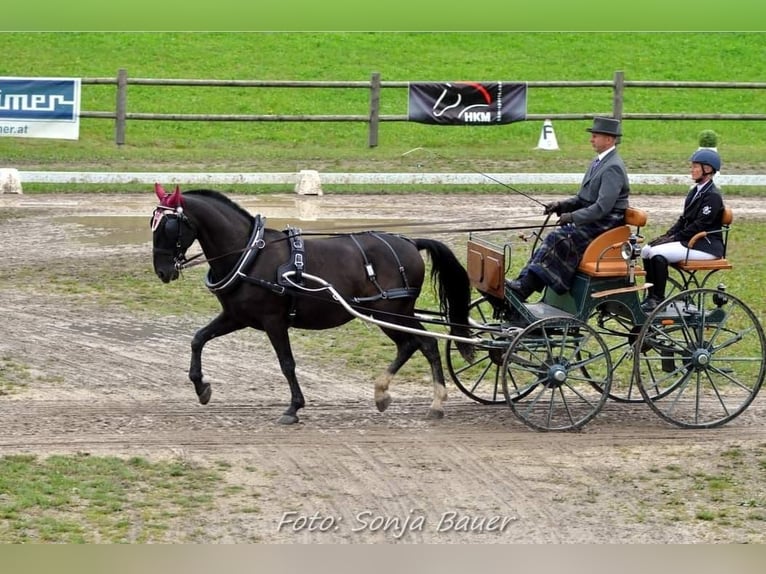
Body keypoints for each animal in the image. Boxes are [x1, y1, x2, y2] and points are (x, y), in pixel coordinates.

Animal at [150, 187, 474, 426]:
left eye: (169, 225)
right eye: (153, 223)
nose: (163, 271)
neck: (250, 255)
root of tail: (410, 242)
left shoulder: (273, 320)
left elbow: (287, 363)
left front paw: (293, 408)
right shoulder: (235, 316)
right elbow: (198, 339)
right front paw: (201, 387)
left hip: (391, 311)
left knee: (424, 343)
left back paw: (433, 402)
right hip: (388, 313)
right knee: (415, 344)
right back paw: (386, 394)